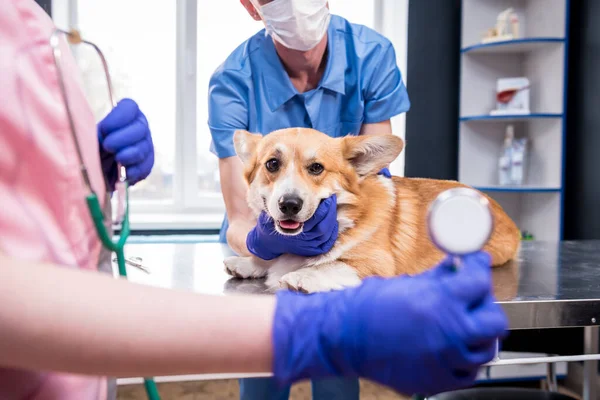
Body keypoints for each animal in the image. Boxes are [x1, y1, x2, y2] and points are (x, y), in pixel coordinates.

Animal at [225, 128, 520, 294]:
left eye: (317, 168)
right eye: (272, 164)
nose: (289, 204)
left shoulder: (377, 265)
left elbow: (333, 264)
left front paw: (301, 275)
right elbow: (267, 255)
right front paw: (249, 262)